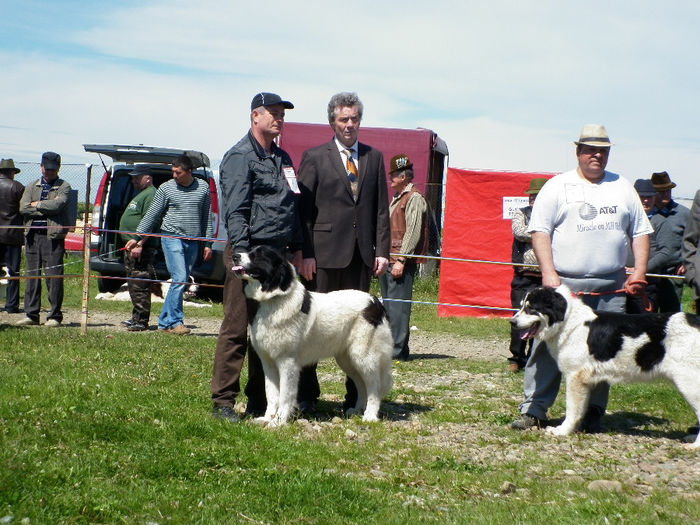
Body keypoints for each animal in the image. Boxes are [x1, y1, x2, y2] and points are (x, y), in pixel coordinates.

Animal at [231, 246, 392, 426]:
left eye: (258, 255)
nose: (234, 255)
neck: (273, 299)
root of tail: (375, 302)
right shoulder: (268, 362)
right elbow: (271, 393)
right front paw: (267, 418)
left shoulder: (287, 363)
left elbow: (285, 395)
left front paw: (279, 421)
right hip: (347, 359)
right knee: (361, 384)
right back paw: (357, 410)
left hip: (363, 356)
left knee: (374, 386)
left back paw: (370, 415)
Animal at [508, 282, 700, 446]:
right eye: (522, 305)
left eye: (531, 308)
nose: (512, 322)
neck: (569, 323)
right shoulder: (585, 381)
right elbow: (580, 409)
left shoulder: (574, 377)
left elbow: (572, 408)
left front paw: (562, 430)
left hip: (688, 383)